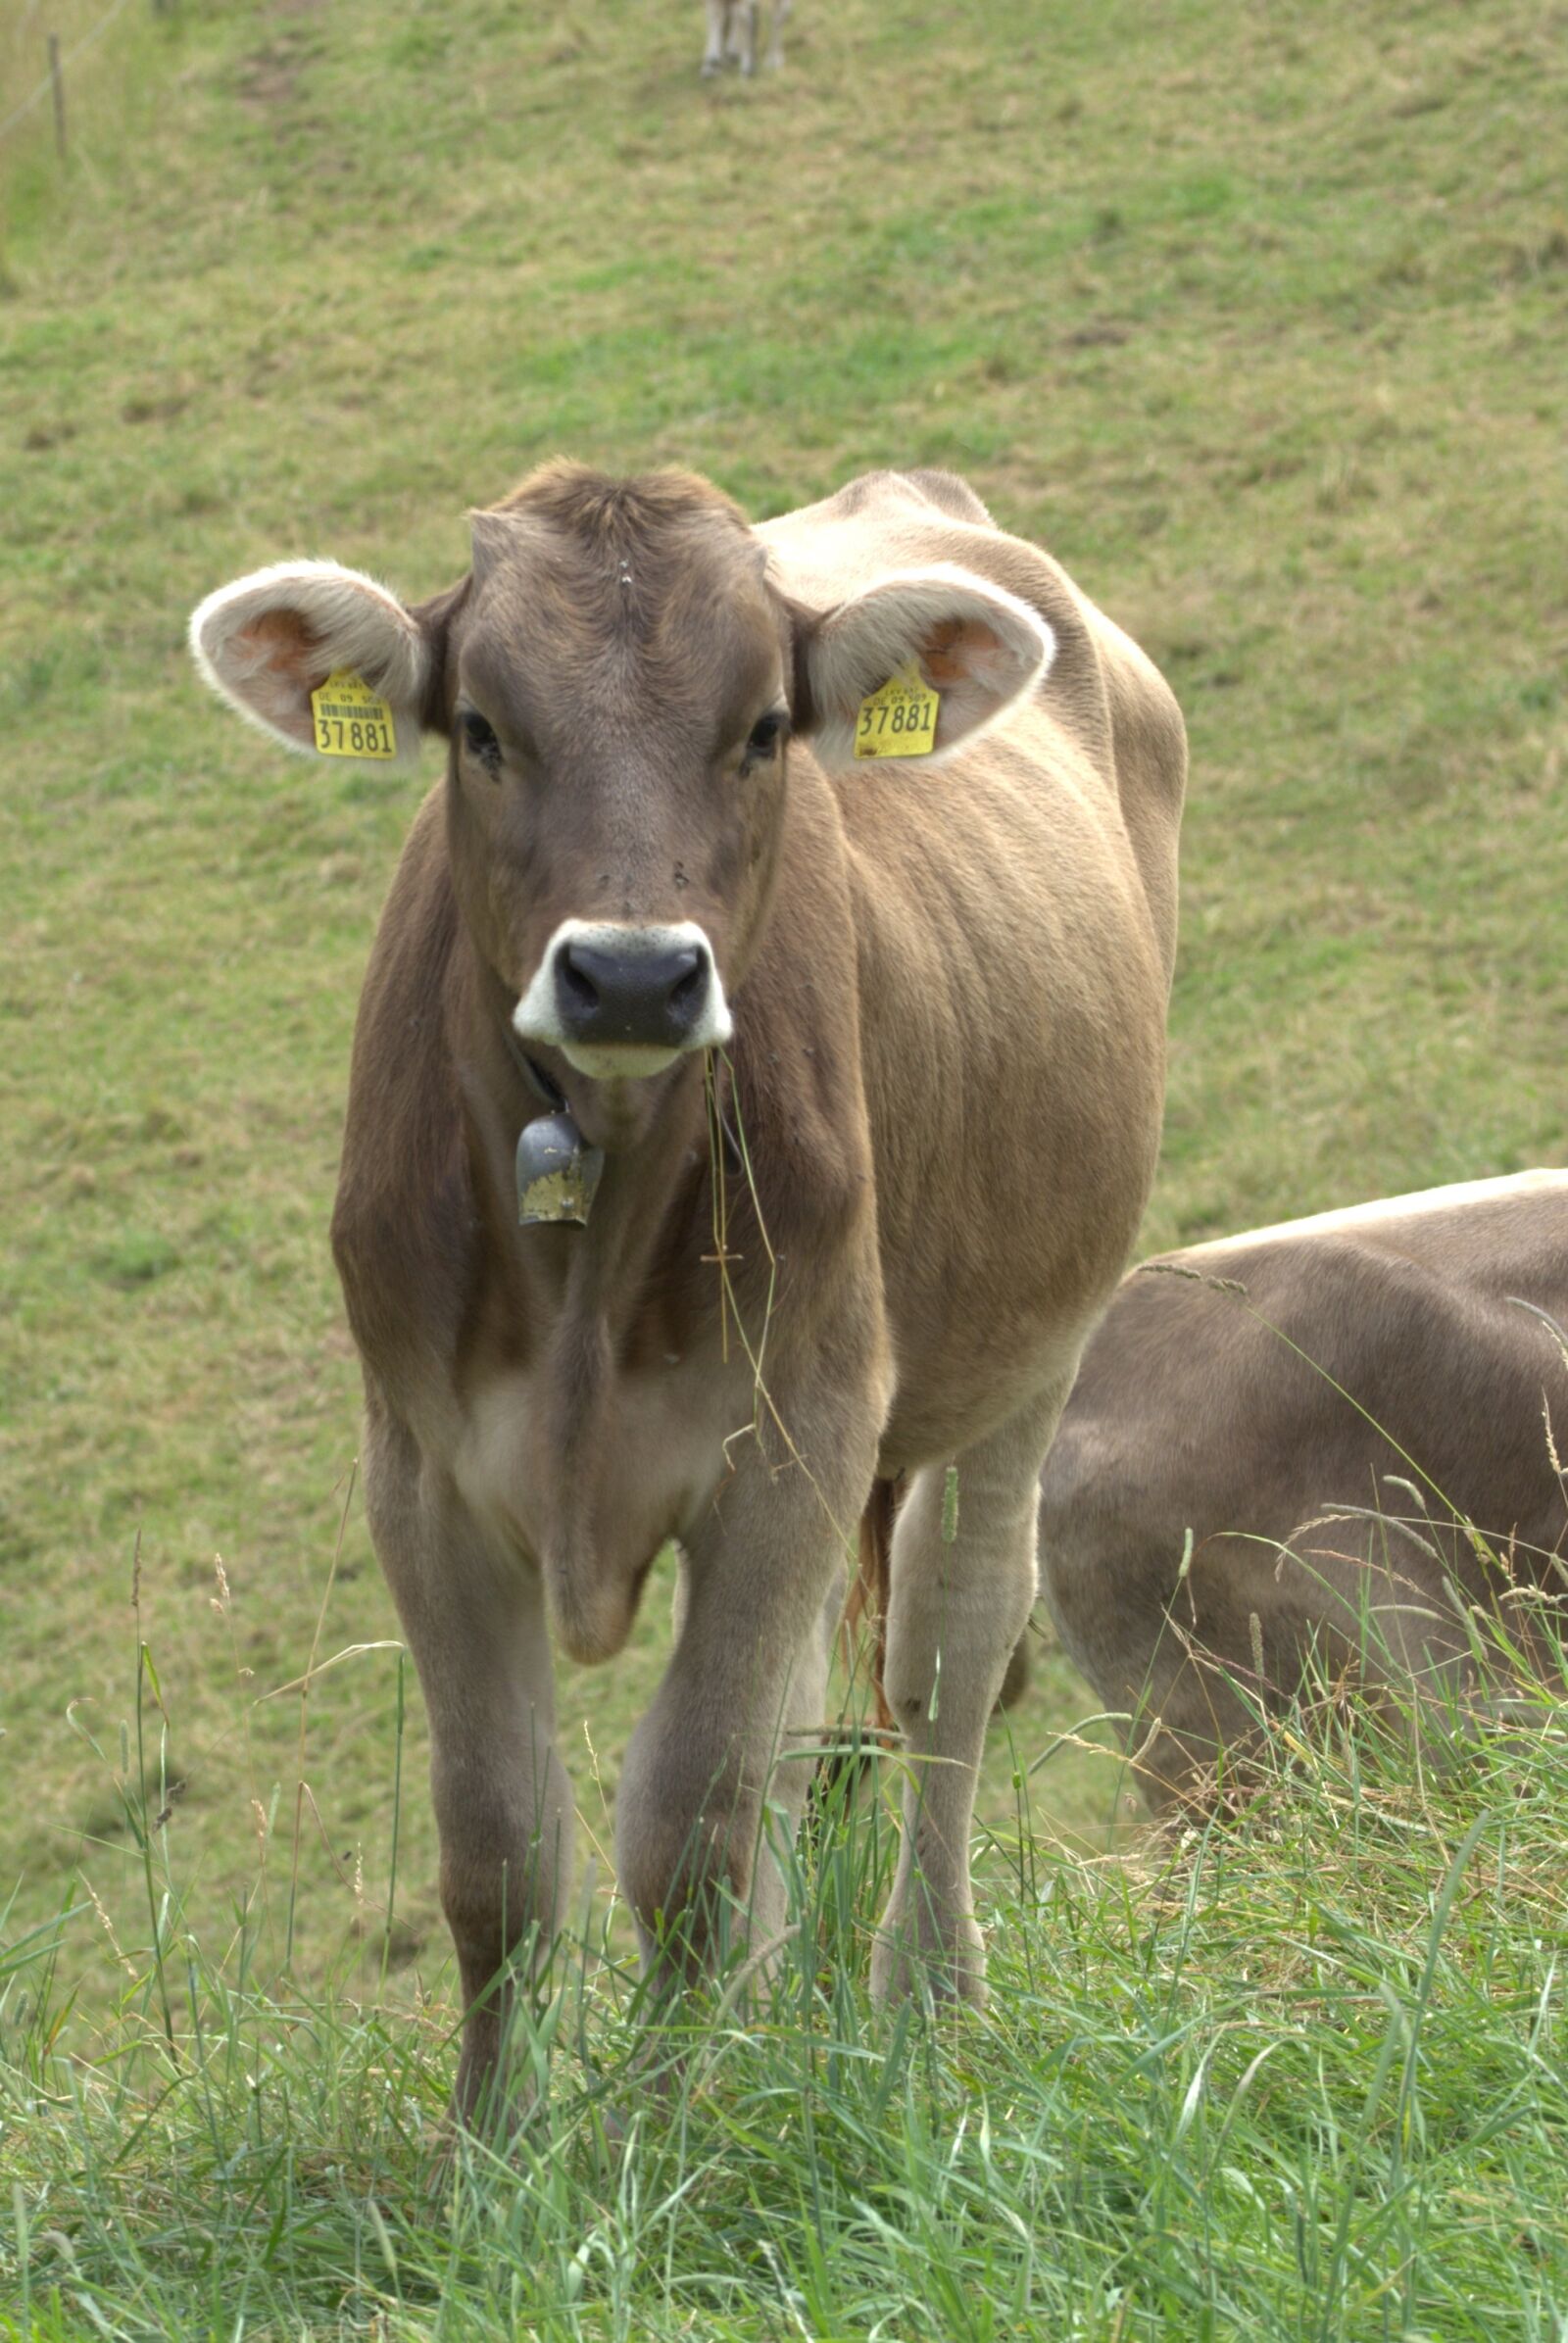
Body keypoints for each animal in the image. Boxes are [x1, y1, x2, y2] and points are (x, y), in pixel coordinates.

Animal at [189, 462, 1185, 2122]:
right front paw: (493, 2146)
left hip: (1034, 1344)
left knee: (950, 1647)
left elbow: (689, 1820)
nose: (637, 975)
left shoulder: (791, 1436)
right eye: (481, 728)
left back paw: (926, 1992)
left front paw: (667, 2128)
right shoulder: (423, 1471)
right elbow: (500, 1841)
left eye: (765, 727)